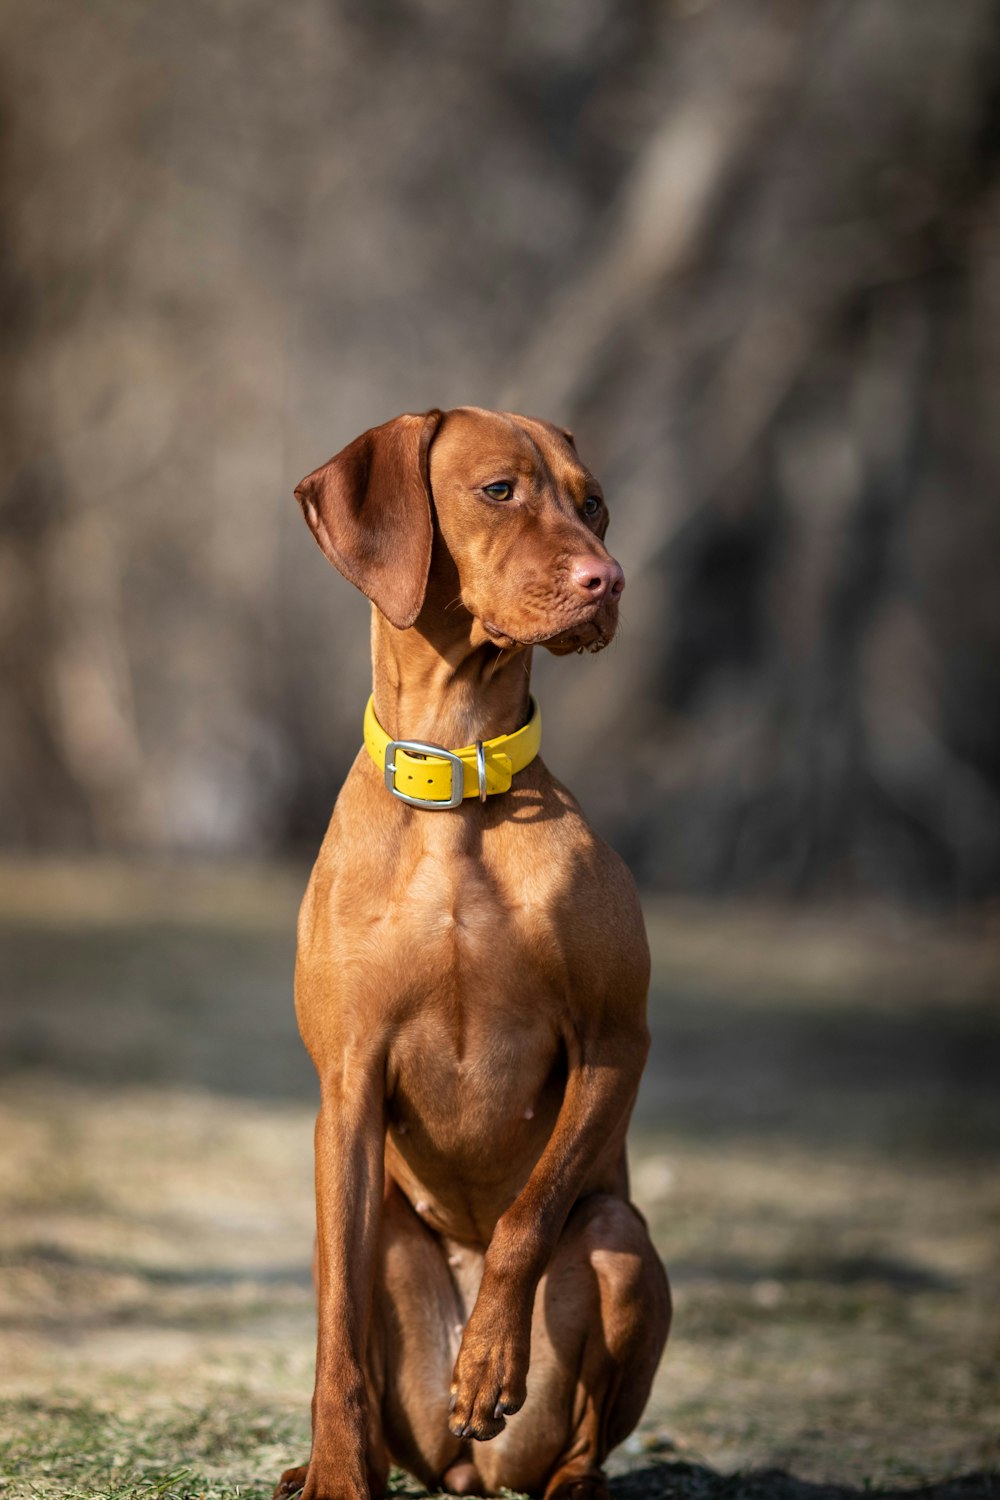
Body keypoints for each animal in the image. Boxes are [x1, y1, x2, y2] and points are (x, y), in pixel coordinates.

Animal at [277, 408, 671, 1500]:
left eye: (593, 503)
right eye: (499, 491)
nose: (609, 578)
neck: (455, 778)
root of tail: (464, 1470)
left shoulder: (614, 1043)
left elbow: (526, 1218)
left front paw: (490, 1356)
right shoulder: (347, 1085)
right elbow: (333, 1329)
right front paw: (337, 1473)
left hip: (622, 1250)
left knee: (585, 1432)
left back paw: (564, 1472)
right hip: (386, 1242)